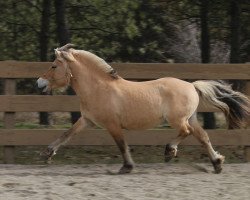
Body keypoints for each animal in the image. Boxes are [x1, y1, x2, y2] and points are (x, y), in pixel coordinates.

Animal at [36, 43, 249, 173]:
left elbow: (122, 145)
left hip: (178, 120)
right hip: (191, 118)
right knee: (203, 137)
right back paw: (217, 164)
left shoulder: (112, 125)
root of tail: (192, 86)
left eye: (54, 66)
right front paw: (47, 154)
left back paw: (170, 151)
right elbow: (67, 134)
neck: (99, 88)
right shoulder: (87, 120)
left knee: (186, 132)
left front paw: (127, 167)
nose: (39, 83)